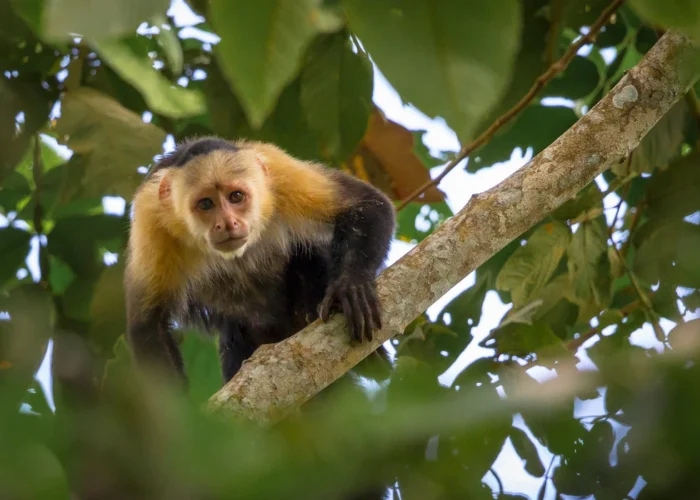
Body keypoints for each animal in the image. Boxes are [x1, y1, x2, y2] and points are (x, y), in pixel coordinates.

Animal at [124, 137, 396, 386]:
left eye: (236, 197)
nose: (228, 223)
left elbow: (366, 203)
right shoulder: (150, 214)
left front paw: (352, 286)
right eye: (206, 204)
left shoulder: (277, 171)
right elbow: (148, 325)